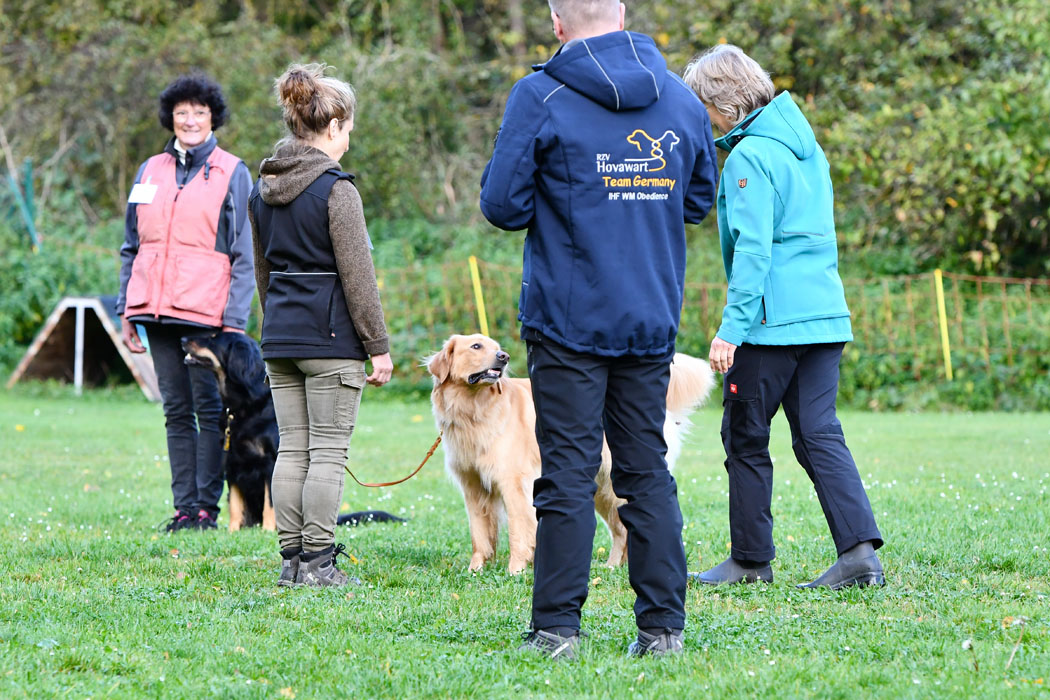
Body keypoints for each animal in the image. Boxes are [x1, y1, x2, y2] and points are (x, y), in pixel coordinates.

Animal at [426, 333, 713, 575]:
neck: (474, 408)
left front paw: (516, 569)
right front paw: (475, 569)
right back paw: (612, 567)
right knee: (621, 529)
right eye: (476, 346)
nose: (503, 357)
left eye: (496, 348)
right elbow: (479, 534)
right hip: (600, 488)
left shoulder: (514, 484)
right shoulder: (473, 486)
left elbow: (519, 530)